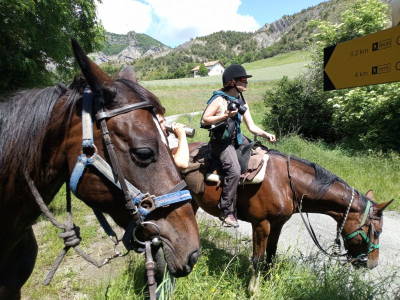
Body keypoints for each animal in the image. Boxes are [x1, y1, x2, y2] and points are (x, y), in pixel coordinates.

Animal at [188, 142, 394, 276]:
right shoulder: (261, 224)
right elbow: (257, 260)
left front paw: (268, 280)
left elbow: (271, 255)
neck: (285, 183)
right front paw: (253, 289)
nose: (373, 264)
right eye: (377, 231)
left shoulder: (277, 224)